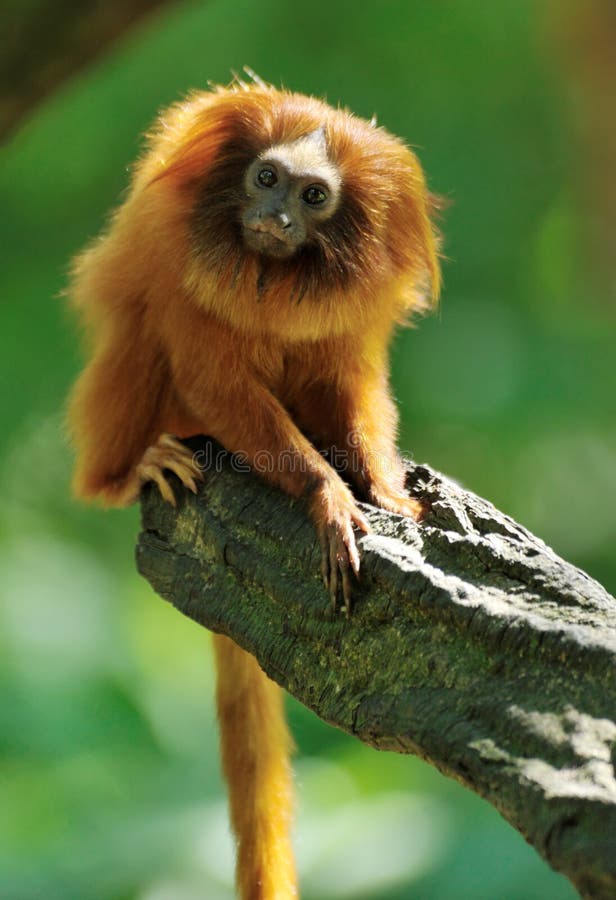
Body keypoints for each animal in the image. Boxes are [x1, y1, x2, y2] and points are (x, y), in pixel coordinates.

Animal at [67, 71, 440, 900]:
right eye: (266, 179)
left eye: (314, 197)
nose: (275, 217)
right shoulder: (178, 262)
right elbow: (214, 378)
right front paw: (327, 498)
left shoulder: (355, 315)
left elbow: (354, 387)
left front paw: (381, 487)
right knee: (136, 347)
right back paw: (123, 475)